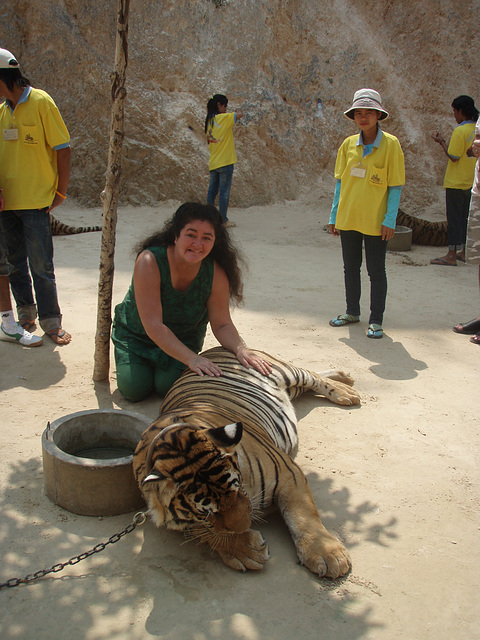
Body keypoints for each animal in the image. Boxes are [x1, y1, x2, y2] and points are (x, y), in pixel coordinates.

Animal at [133, 348, 362, 576]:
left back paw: (345, 388)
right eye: (207, 512)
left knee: (311, 375)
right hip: (289, 390)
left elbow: (303, 515)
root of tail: (212, 350)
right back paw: (344, 377)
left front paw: (327, 555)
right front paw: (245, 549)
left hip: (280, 370)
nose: (248, 523)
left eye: (237, 488)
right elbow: (205, 532)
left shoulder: (288, 472)